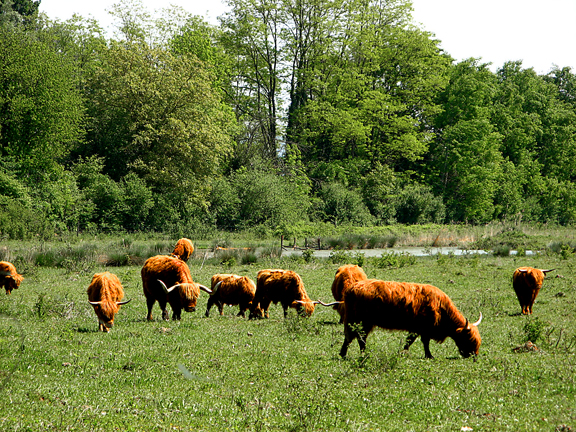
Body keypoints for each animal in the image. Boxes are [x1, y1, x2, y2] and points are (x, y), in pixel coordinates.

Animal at [340, 278, 484, 360]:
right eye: (469, 339)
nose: (474, 355)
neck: (441, 308)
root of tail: (352, 288)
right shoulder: (423, 328)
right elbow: (421, 342)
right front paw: (428, 355)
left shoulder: (418, 329)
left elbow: (411, 341)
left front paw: (403, 352)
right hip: (358, 321)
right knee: (354, 337)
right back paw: (349, 354)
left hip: (362, 322)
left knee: (357, 337)